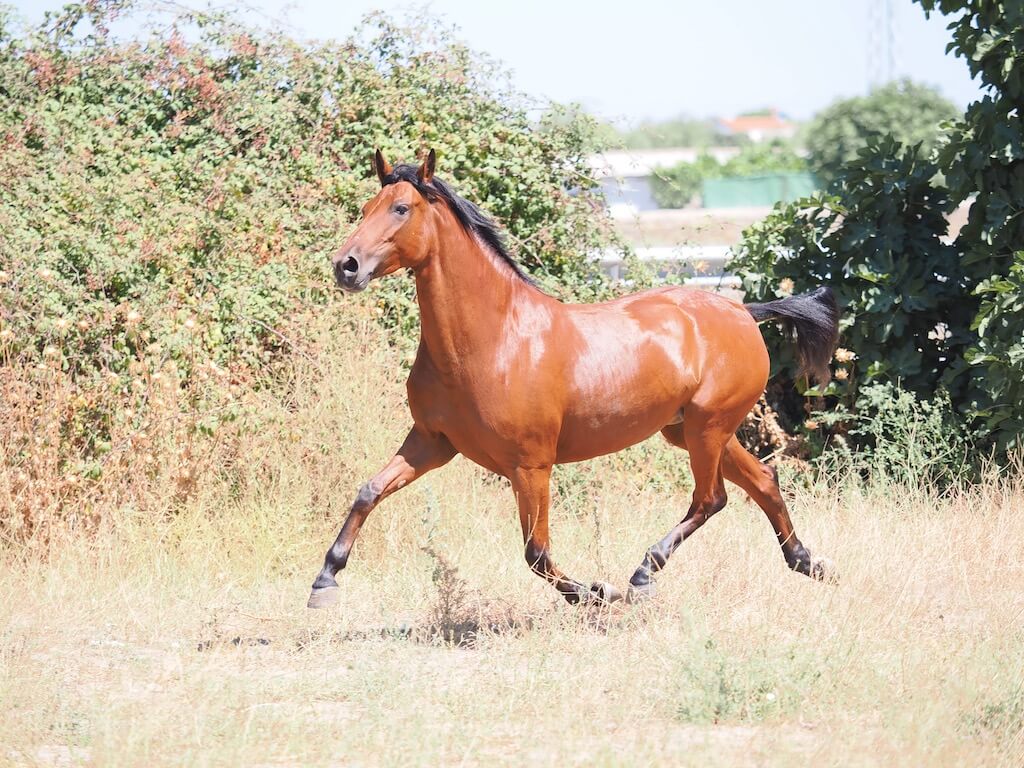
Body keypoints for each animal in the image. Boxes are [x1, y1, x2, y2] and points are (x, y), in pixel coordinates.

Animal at [307, 149, 839, 609]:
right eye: (366, 208)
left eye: (401, 208)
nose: (346, 266)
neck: (492, 340)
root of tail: (743, 312)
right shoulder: (432, 442)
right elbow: (368, 491)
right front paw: (324, 581)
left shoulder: (530, 466)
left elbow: (536, 551)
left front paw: (595, 592)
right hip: (692, 430)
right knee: (763, 481)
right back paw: (808, 562)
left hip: (707, 428)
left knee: (711, 498)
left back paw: (643, 574)